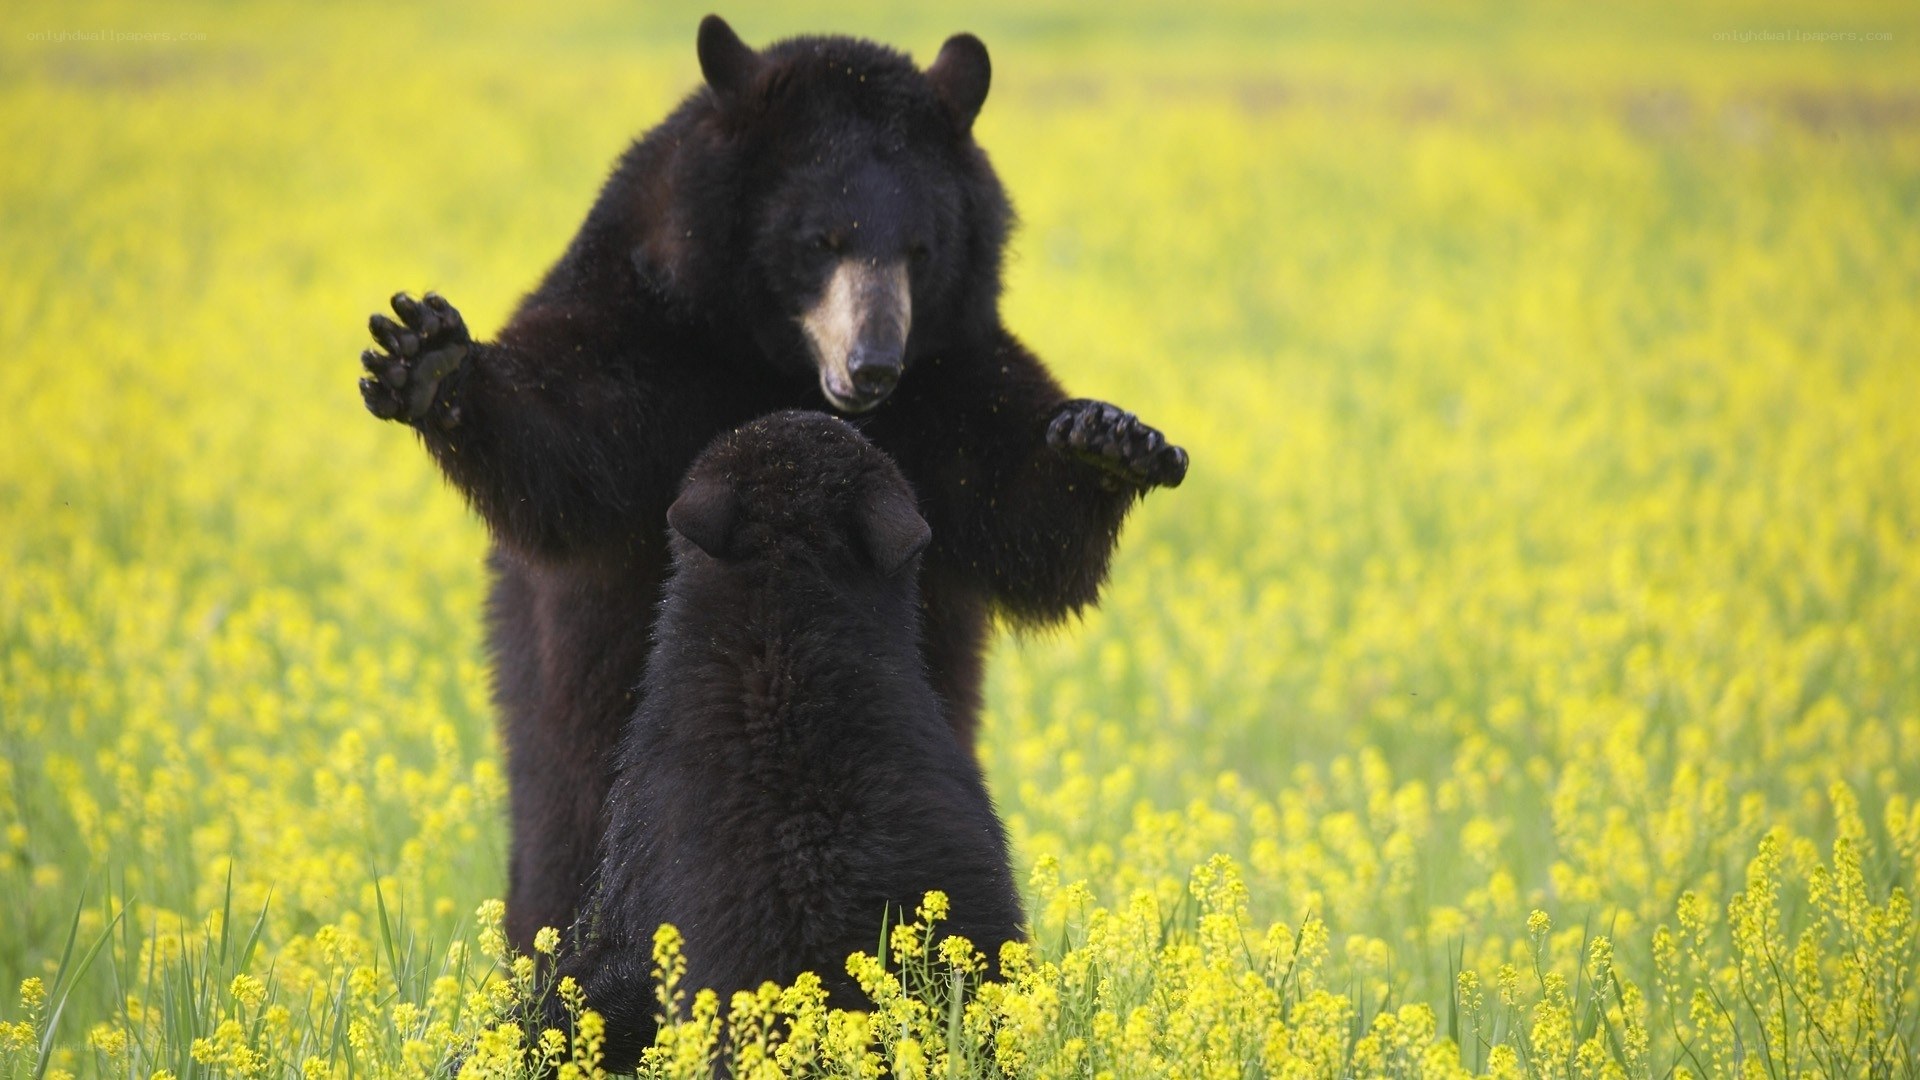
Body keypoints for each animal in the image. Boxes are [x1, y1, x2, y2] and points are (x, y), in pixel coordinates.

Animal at [357, 15, 1187, 952]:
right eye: (821, 240)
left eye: (920, 248)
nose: (873, 365)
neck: (774, 362)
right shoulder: (649, 328)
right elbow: (567, 434)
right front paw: (432, 363)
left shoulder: (949, 381)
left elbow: (1020, 510)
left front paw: (1107, 443)